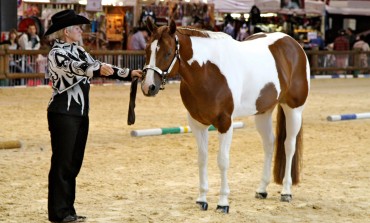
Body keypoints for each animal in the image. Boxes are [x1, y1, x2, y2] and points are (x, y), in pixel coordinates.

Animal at [141, 20, 310, 213]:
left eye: (168, 52)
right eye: (147, 50)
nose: (148, 87)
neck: (208, 72)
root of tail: (294, 44)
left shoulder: (225, 123)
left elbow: (222, 161)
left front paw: (223, 203)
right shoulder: (197, 124)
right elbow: (202, 159)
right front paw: (202, 199)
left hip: (294, 109)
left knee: (289, 146)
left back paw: (286, 191)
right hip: (263, 112)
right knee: (269, 144)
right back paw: (262, 189)